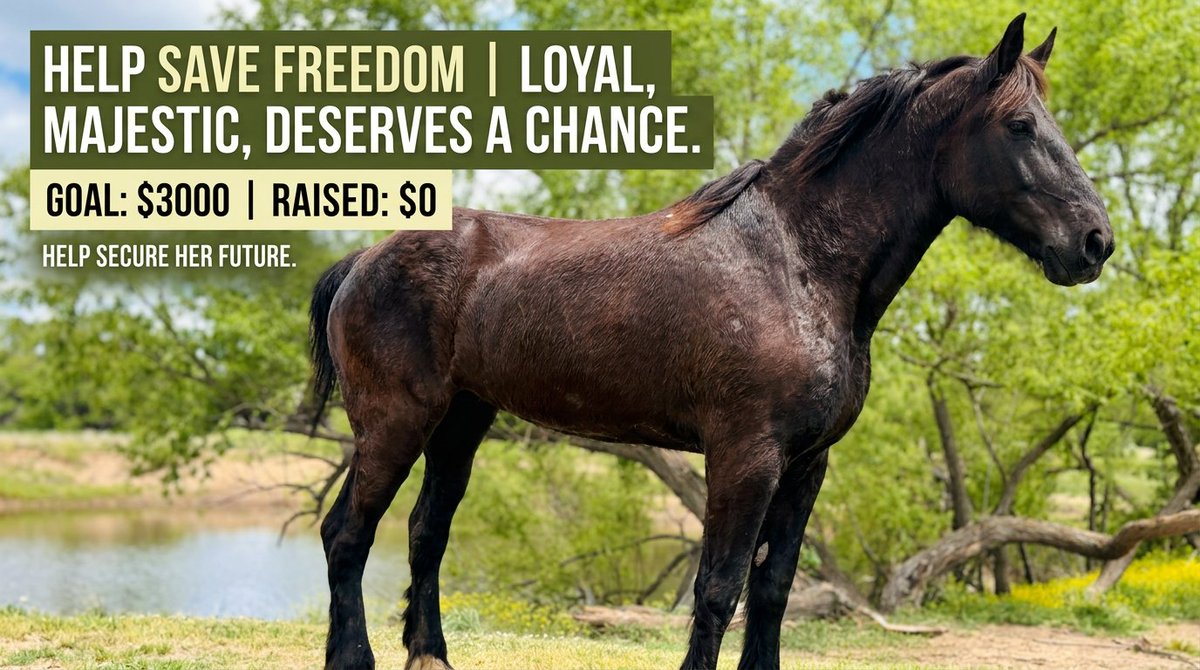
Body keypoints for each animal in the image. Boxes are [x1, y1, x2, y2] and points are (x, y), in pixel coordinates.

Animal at [308, 14, 1112, 670]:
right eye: (1019, 125)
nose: (1095, 241)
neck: (795, 261)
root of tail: (365, 258)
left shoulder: (807, 466)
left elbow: (773, 589)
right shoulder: (745, 458)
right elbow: (719, 590)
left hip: (462, 422)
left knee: (425, 533)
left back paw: (430, 654)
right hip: (394, 424)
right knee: (347, 535)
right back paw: (354, 658)